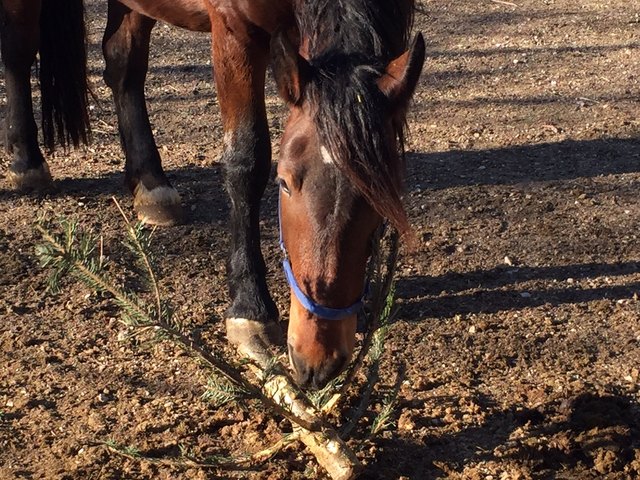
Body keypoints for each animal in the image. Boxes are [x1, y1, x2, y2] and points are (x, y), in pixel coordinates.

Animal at [2, 0, 428, 388]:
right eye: (284, 182)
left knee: (123, 63)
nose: (316, 360)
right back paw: (27, 161)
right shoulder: (234, 31)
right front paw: (249, 307)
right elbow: (247, 160)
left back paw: (150, 184)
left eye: (381, 194)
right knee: (19, 50)